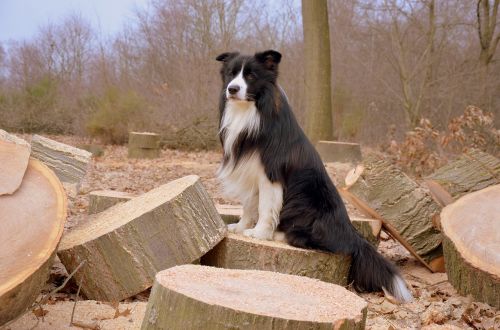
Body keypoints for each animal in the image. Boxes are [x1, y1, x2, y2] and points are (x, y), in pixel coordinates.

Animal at [217, 49, 412, 304]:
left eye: (250, 76)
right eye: (231, 74)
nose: (232, 89)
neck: (251, 110)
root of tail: (352, 234)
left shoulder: (270, 174)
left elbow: (266, 208)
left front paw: (259, 234)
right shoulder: (251, 173)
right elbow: (250, 206)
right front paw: (241, 228)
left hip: (306, 206)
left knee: (316, 241)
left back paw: (280, 235)